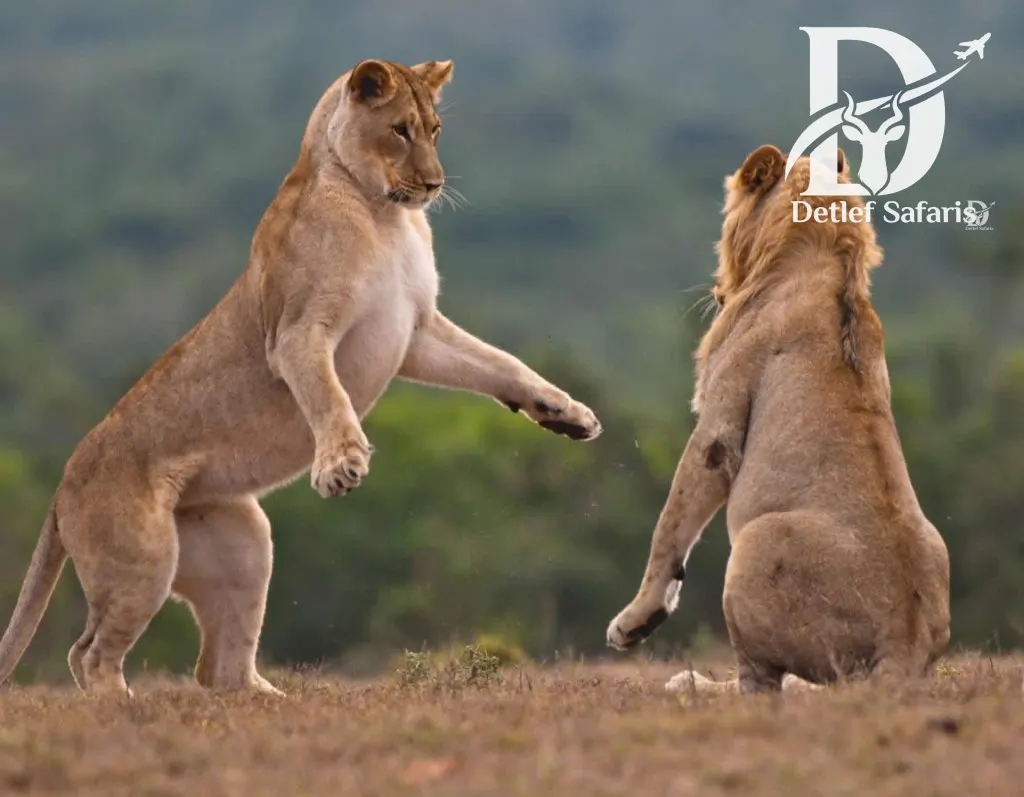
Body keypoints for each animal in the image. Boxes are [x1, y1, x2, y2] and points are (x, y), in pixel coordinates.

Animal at [0, 58, 602, 697]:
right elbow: (327, 396)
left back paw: (270, 700)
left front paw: (566, 414)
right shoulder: (297, 333)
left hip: (242, 543)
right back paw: (125, 705)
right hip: (143, 556)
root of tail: (62, 485)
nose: (435, 185)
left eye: (436, 129)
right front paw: (340, 465)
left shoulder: (416, 332)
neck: (385, 214)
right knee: (87, 653)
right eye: (400, 130)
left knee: (218, 668)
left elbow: (501, 363)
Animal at [606, 143, 950, 694]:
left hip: (755, 541)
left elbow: (670, 525)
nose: (716, 287)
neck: (828, 257)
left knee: (762, 683)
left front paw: (635, 621)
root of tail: (907, 644)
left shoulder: (717, 427)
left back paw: (696, 684)